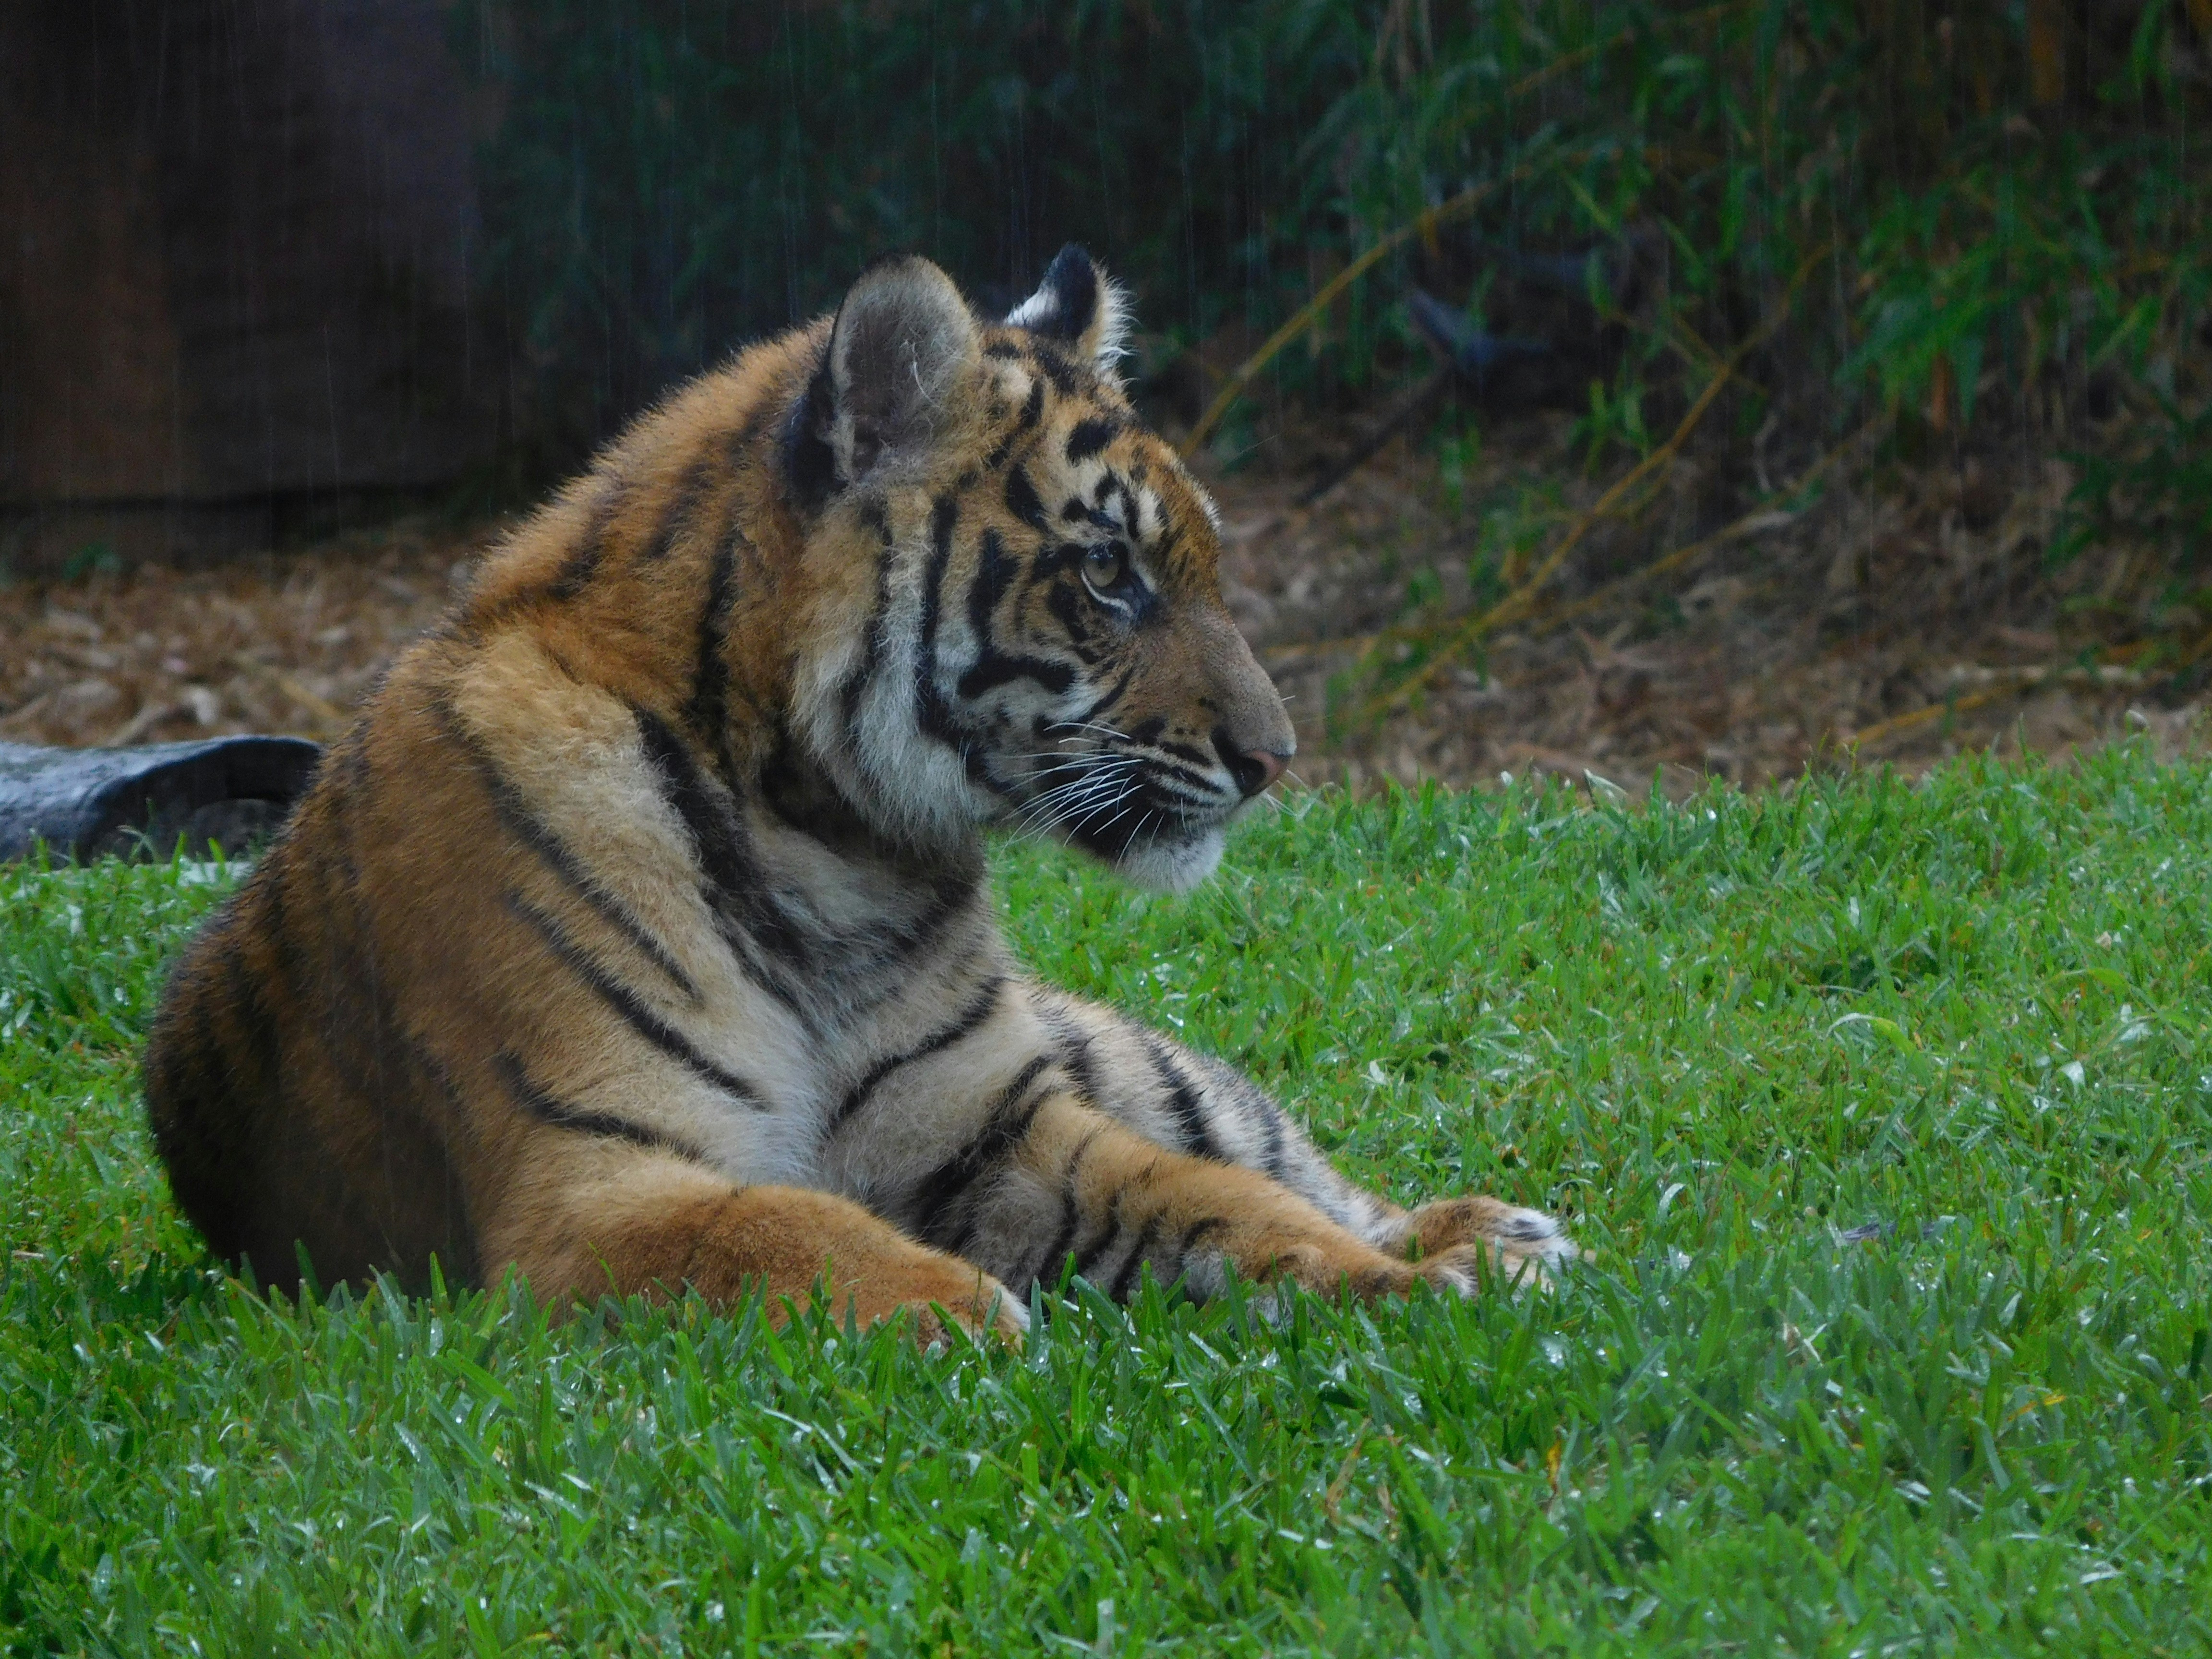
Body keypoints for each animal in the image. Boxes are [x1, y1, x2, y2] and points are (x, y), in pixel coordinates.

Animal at [142, 247, 1575, 1344]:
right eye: (1107, 573)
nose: (1275, 760)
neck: (827, 844)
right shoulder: (594, 1180)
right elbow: (785, 1228)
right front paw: (971, 1309)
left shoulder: (997, 1121)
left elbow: (1223, 1198)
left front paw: (1410, 1284)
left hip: (1124, 1054)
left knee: (1295, 1162)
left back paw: (1495, 1234)